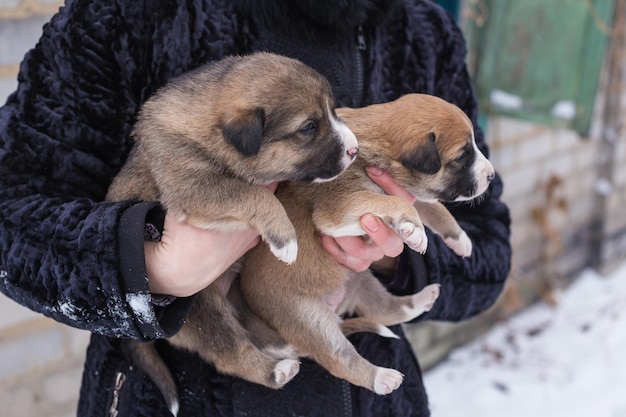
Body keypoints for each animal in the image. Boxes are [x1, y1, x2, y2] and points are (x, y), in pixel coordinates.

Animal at [105, 52, 358, 416]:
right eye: (308, 127)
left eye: (333, 111)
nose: (354, 149)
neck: (206, 126)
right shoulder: (195, 187)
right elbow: (253, 195)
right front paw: (285, 239)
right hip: (200, 312)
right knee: (230, 354)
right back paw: (275, 370)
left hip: (236, 292)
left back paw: (284, 349)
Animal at [238, 93, 492, 394]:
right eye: (462, 155)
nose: (491, 175)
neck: (377, 145)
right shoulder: (338, 210)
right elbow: (396, 203)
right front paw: (415, 231)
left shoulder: (406, 192)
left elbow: (433, 207)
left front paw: (459, 239)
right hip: (309, 320)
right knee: (341, 358)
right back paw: (382, 377)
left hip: (361, 280)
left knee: (388, 309)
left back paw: (423, 298)